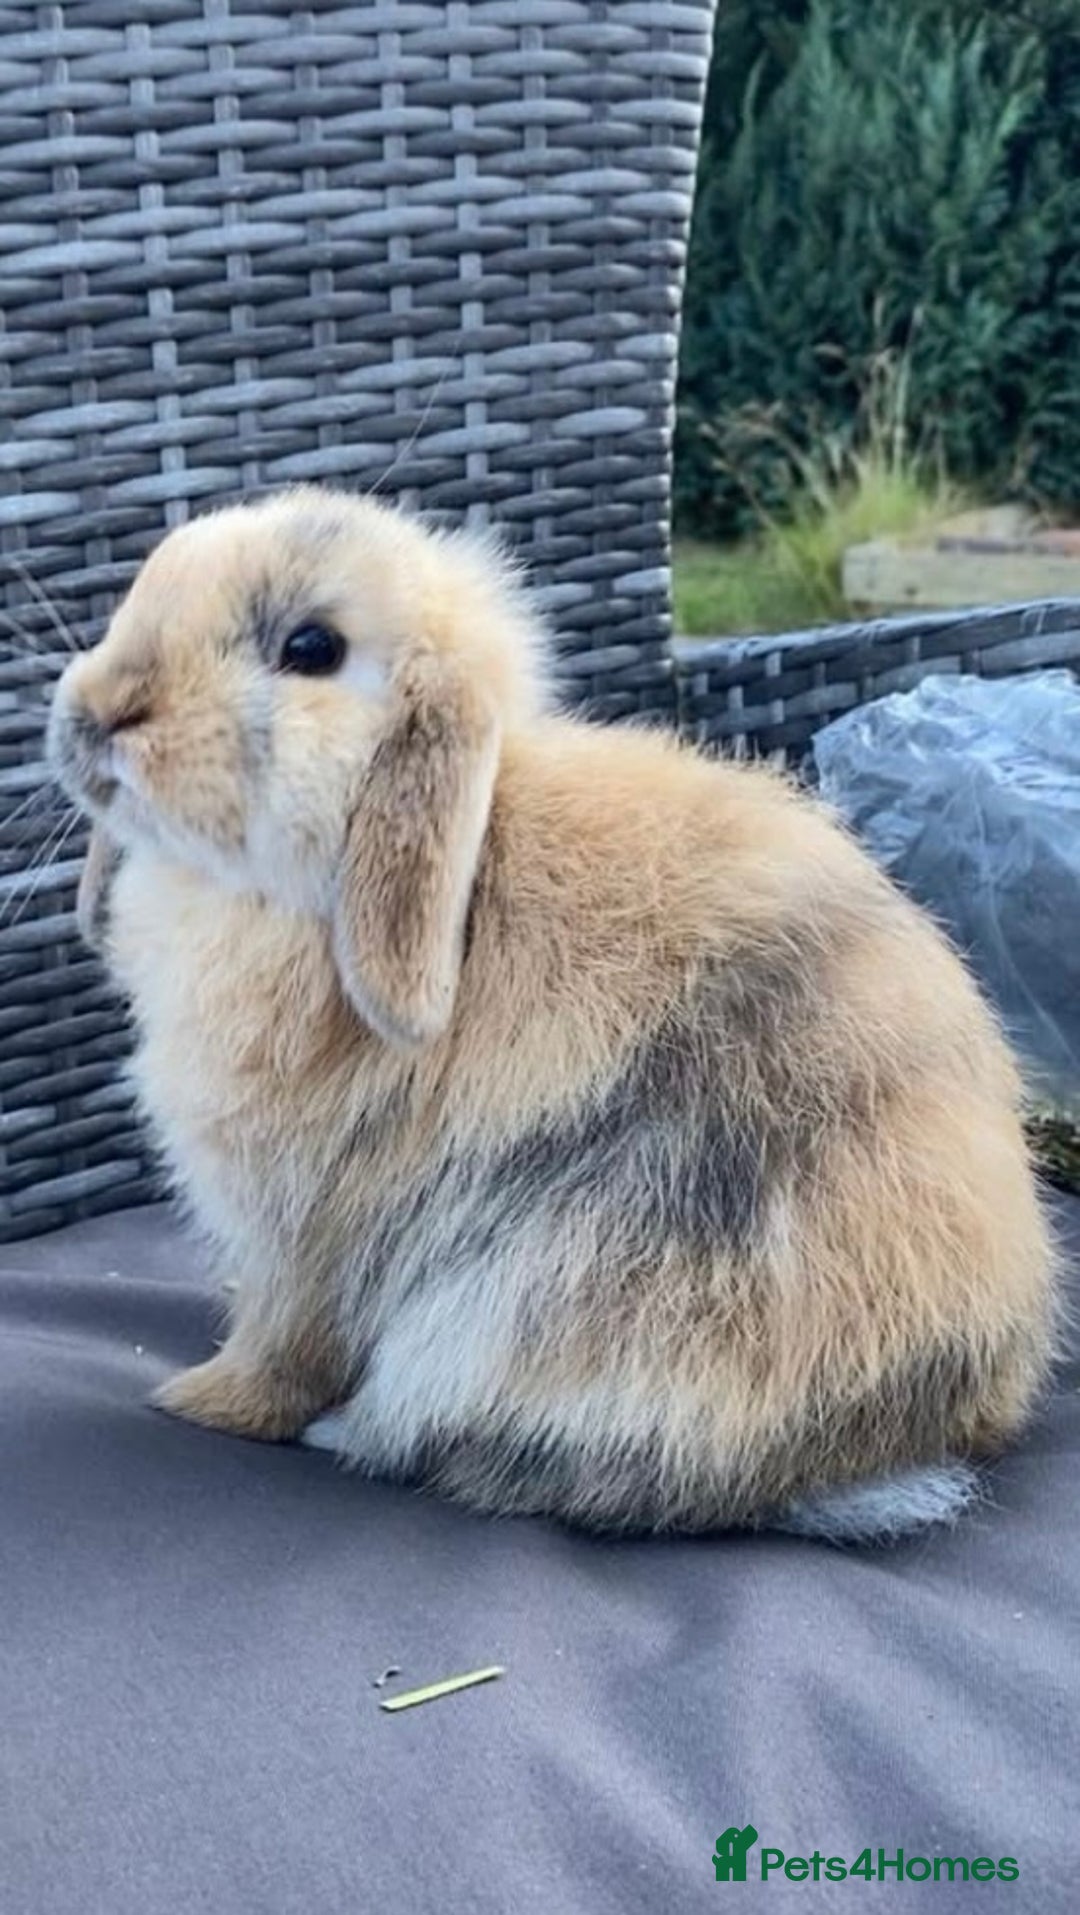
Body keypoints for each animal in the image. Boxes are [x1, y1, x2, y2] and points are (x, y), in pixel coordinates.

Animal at [48, 486, 1059, 1542]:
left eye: (312, 648)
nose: (95, 711)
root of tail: (916, 1437)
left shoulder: (308, 1234)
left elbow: (282, 1347)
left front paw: (196, 1399)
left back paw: (349, 1430)